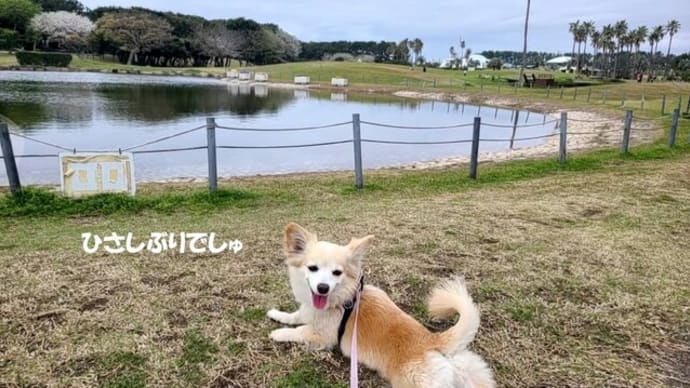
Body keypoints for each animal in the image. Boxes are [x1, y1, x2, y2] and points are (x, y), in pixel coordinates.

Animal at [264, 221, 494, 388]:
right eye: (312, 268)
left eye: (337, 273)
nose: (322, 288)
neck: (341, 301)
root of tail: (431, 339)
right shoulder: (307, 311)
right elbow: (294, 316)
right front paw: (276, 314)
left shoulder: (324, 337)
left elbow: (300, 330)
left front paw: (278, 333)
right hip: (460, 367)